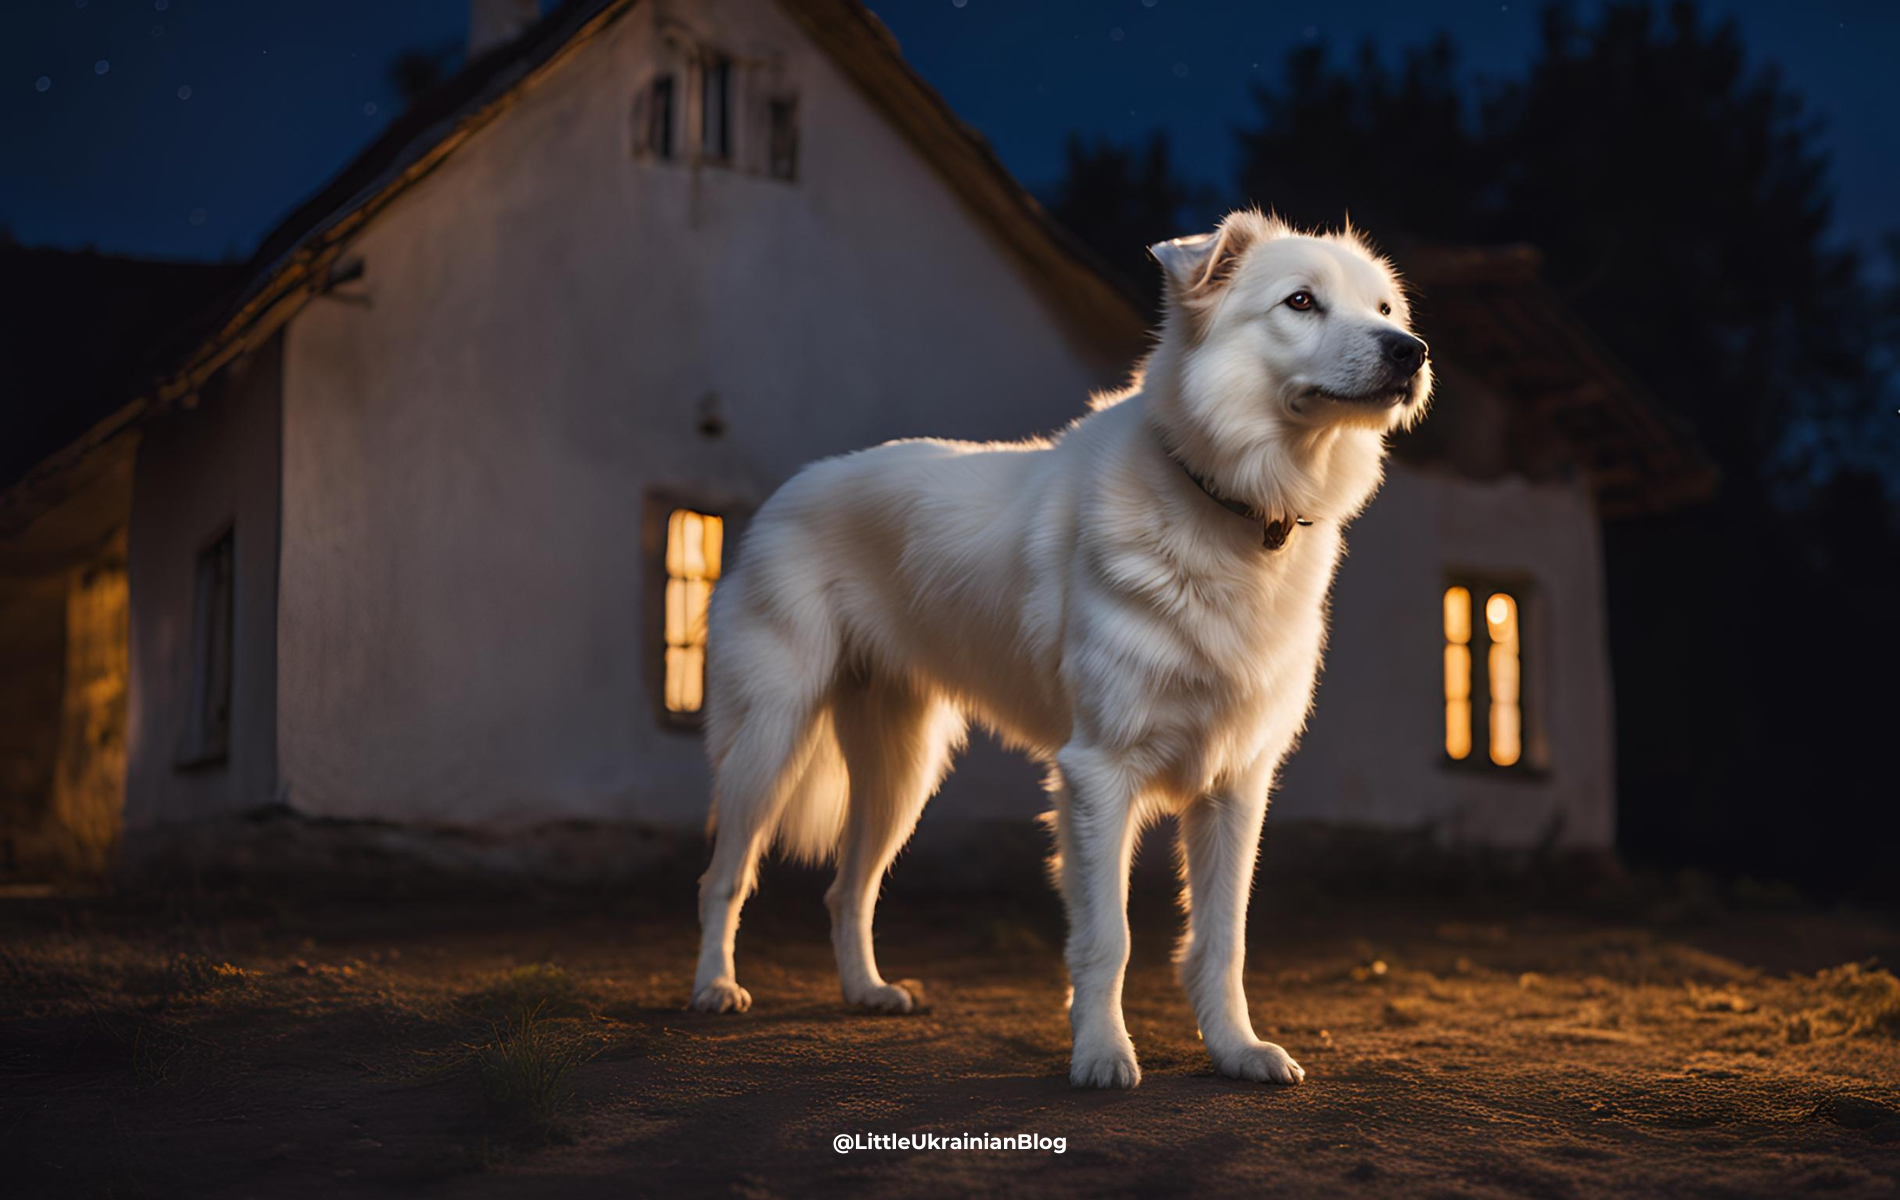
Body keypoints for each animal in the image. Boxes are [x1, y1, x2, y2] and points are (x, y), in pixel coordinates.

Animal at [684, 210, 1428, 1093]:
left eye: (1384, 309)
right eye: (1302, 302)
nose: (1411, 351)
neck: (1230, 505)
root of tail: (785, 494)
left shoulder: (1235, 788)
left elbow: (1222, 943)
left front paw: (1235, 1051)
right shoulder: (1097, 776)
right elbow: (1108, 938)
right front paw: (1102, 1056)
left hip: (902, 771)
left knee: (849, 888)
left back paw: (865, 991)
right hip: (768, 743)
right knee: (726, 876)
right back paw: (714, 988)